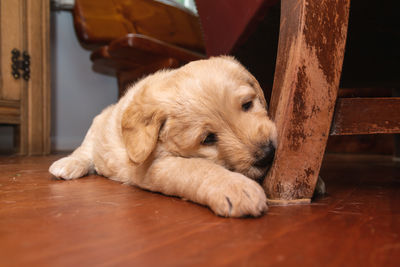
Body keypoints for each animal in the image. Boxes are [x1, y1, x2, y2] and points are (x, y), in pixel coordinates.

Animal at [49, 56, 276, 218]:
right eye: (208, 139)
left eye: (247, 105)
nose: (267, 154)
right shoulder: (153, 166)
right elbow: (196, 168)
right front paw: (237, 188)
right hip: (96, 125)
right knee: (85, 151)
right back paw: (67, 164)